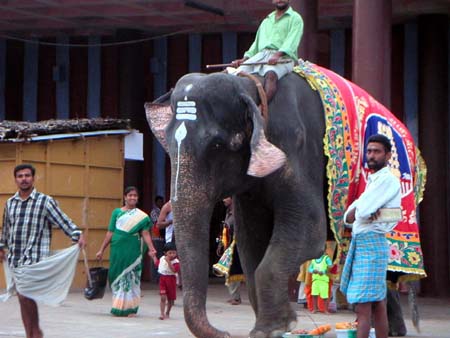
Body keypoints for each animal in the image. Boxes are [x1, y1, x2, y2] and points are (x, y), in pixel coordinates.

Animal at [146, 70, 326, 336]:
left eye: (217, 145)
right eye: (167, 147)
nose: (224, 333)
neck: (253, 84)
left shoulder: (298, 151)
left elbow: (310, 230)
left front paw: (272, 329)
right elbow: (251, 241)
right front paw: (278, 325)